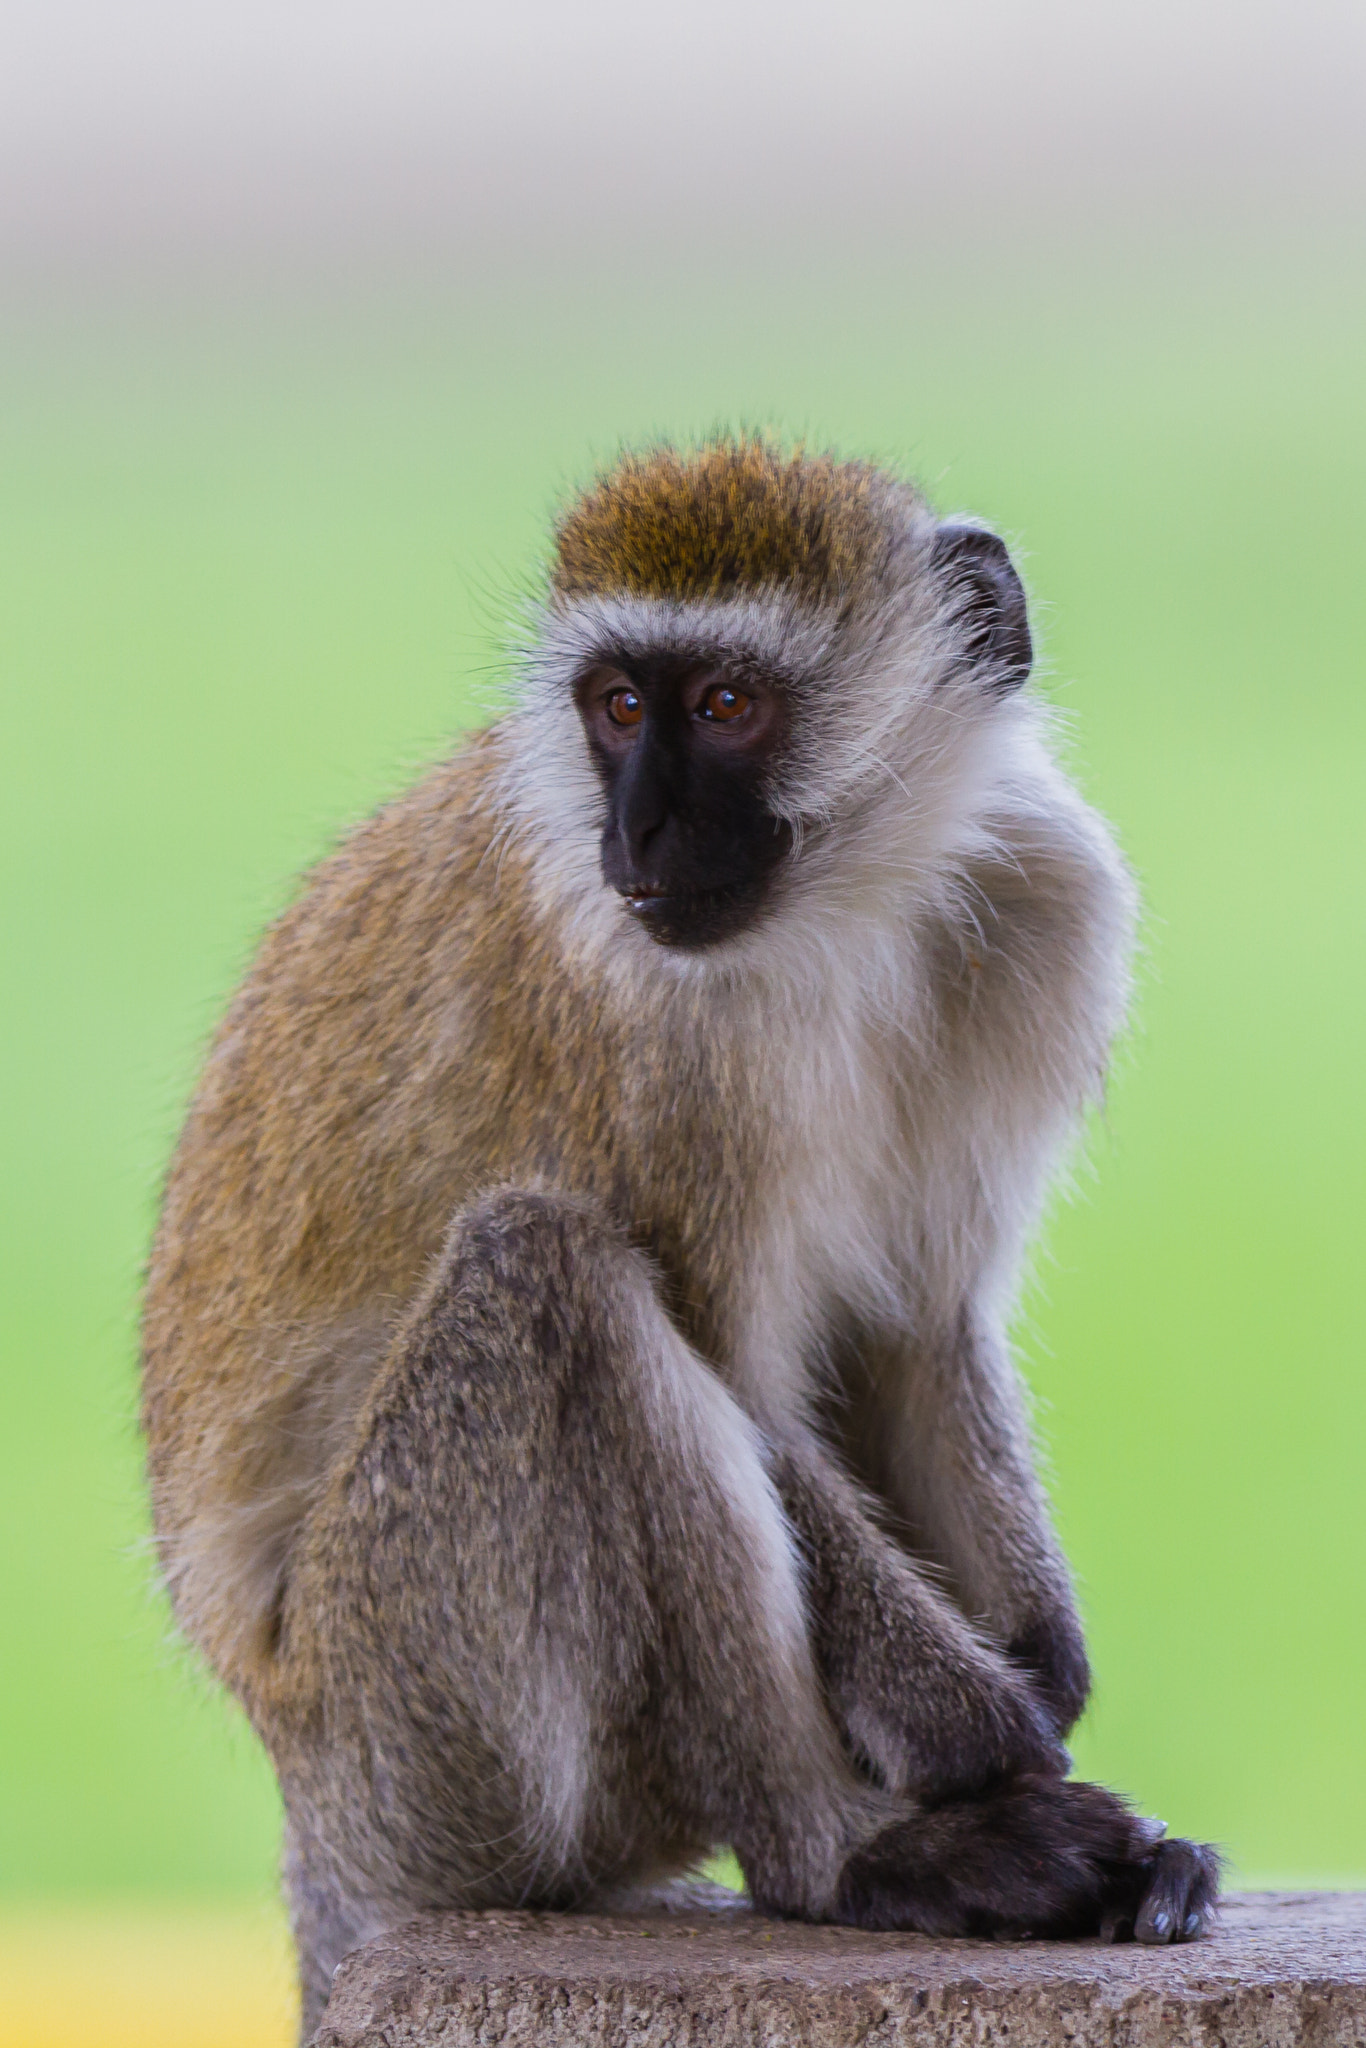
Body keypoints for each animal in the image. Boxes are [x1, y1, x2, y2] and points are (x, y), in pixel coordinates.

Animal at [144, 440, 1220, 2039]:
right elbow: (744, 1376)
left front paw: (1046, 1655)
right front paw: (973, 1719)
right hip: (412, 1723)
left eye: (723, 705)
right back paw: (842, 1850)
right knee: (548, 1272)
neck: (853, 909)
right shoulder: (650, 1036)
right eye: (615, 708)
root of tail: (311, 1810)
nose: (635, 831)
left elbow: (918, 1329)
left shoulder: (1048, 898)